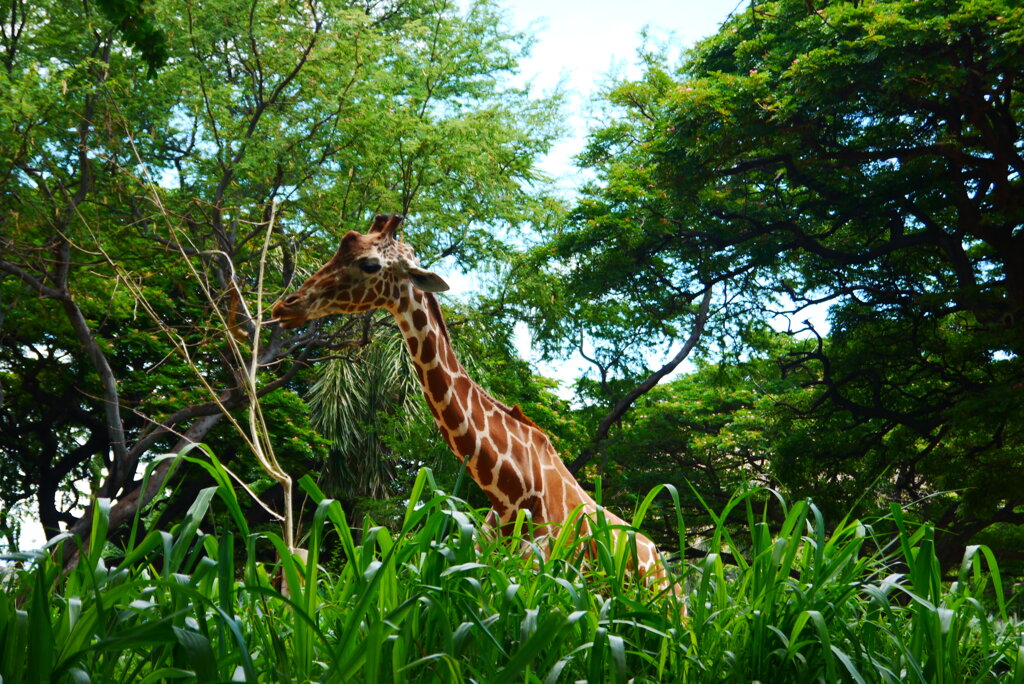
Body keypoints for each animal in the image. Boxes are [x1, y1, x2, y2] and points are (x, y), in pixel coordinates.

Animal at [274, 215, 679, 602]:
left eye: (369, 264)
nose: (284, 306)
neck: (509, 492)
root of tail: (663, 563)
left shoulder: (550, 582)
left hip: (666, 605)